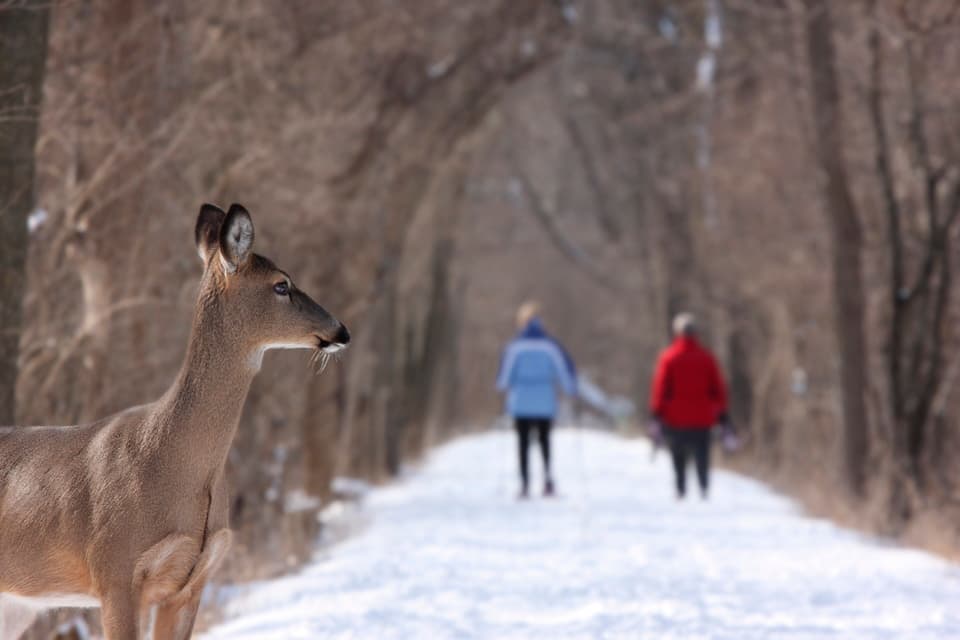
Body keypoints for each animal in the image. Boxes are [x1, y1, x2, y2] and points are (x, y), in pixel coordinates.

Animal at [0, 204, 350, 639]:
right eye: (282, 285)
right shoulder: (115, 571)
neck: (177, 466)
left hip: (16, 603)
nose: (342, 330)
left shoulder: (192, 581)